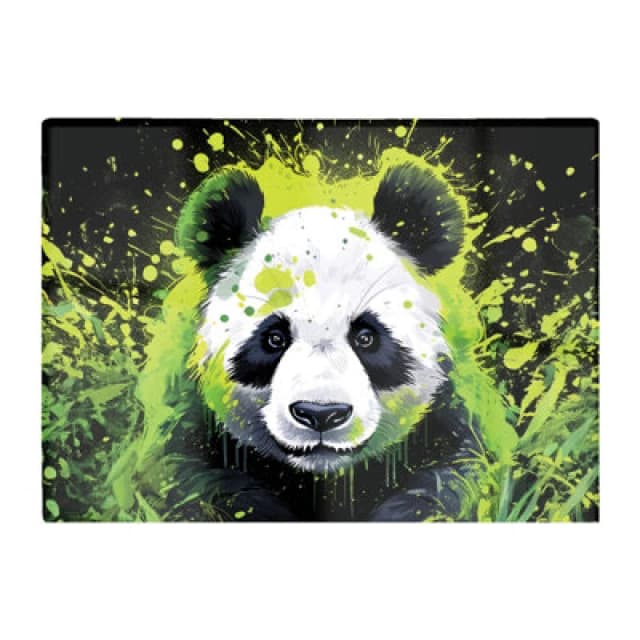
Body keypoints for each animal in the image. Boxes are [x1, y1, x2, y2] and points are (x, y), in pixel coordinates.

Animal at [138, 162, 482, 521]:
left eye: (366, 337)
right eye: (274, 338)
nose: (321, 414)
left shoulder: (445, 420)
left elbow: (446, 481)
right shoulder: (190, 424)